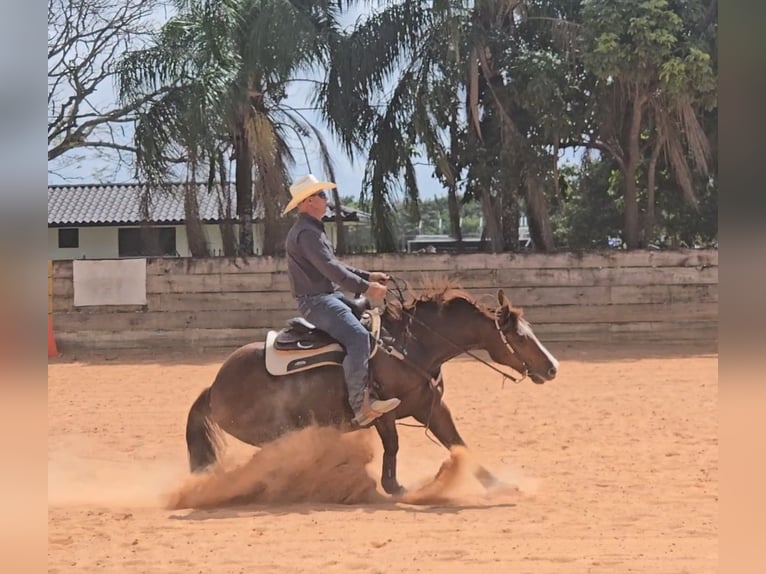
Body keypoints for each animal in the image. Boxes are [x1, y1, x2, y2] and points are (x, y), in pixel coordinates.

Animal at [184, 280, 559, 495]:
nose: (553, 367)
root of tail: (214, 386)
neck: (412, 345)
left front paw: (498, 485)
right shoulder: (383, 412)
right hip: (275, 431)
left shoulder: (432, 408)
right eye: (520, 337)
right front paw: (393, 486)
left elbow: (458, 444)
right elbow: (392, 446)